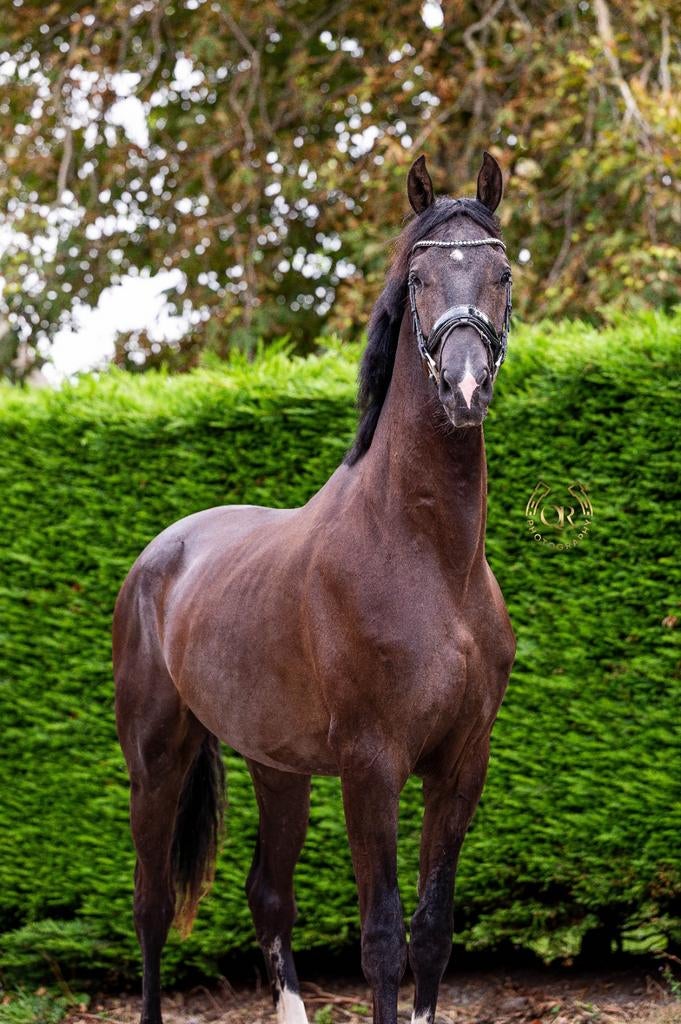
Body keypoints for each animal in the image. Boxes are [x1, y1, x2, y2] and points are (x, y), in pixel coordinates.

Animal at [113, 152, 516, 1024]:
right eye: (418, 277)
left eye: (501, 272)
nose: (464, 388)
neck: (429, 562)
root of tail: (158, 558)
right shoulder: (372, 767)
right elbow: (383, 937)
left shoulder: (460, 764)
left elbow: (432, 930)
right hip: (157, 759)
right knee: (152, 904)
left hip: (279, 769)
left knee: (268, 895)